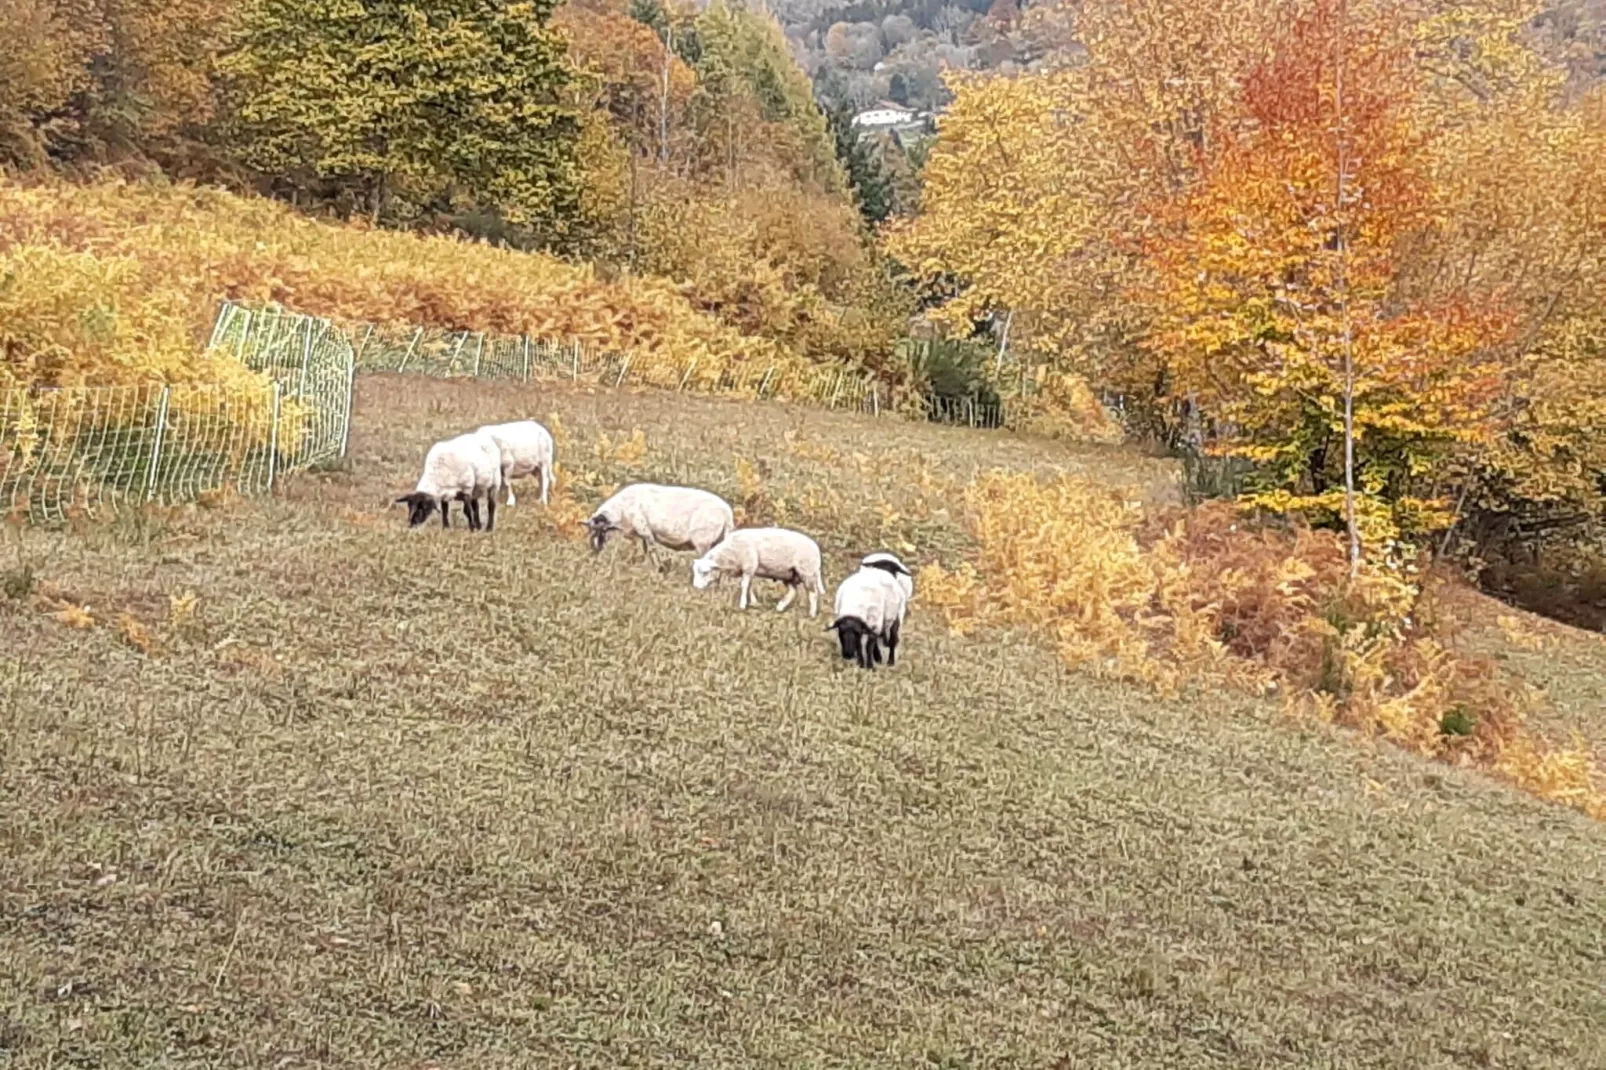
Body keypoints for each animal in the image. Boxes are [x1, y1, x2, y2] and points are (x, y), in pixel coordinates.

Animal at [584, 478, 735, 562]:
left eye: (601, 530)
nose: (595, 550)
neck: (621, 510)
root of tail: (727, 513)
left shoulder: (644, 529)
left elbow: (652, 551)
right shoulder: (642, 535)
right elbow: (646, 551)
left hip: (702, 540)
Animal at [690, 526, 828, 613]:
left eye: (705, 572)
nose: (696, 587)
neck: (729, 553)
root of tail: (816, 548)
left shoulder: (749, 566)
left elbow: (744, 586)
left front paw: (742, 605)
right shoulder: (749, 570)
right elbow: (749, 586)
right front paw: (754, 602)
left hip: (807, 572)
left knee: (813, 594)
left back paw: (811, 614)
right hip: (789, 574)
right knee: (793, 592)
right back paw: (780, 607)